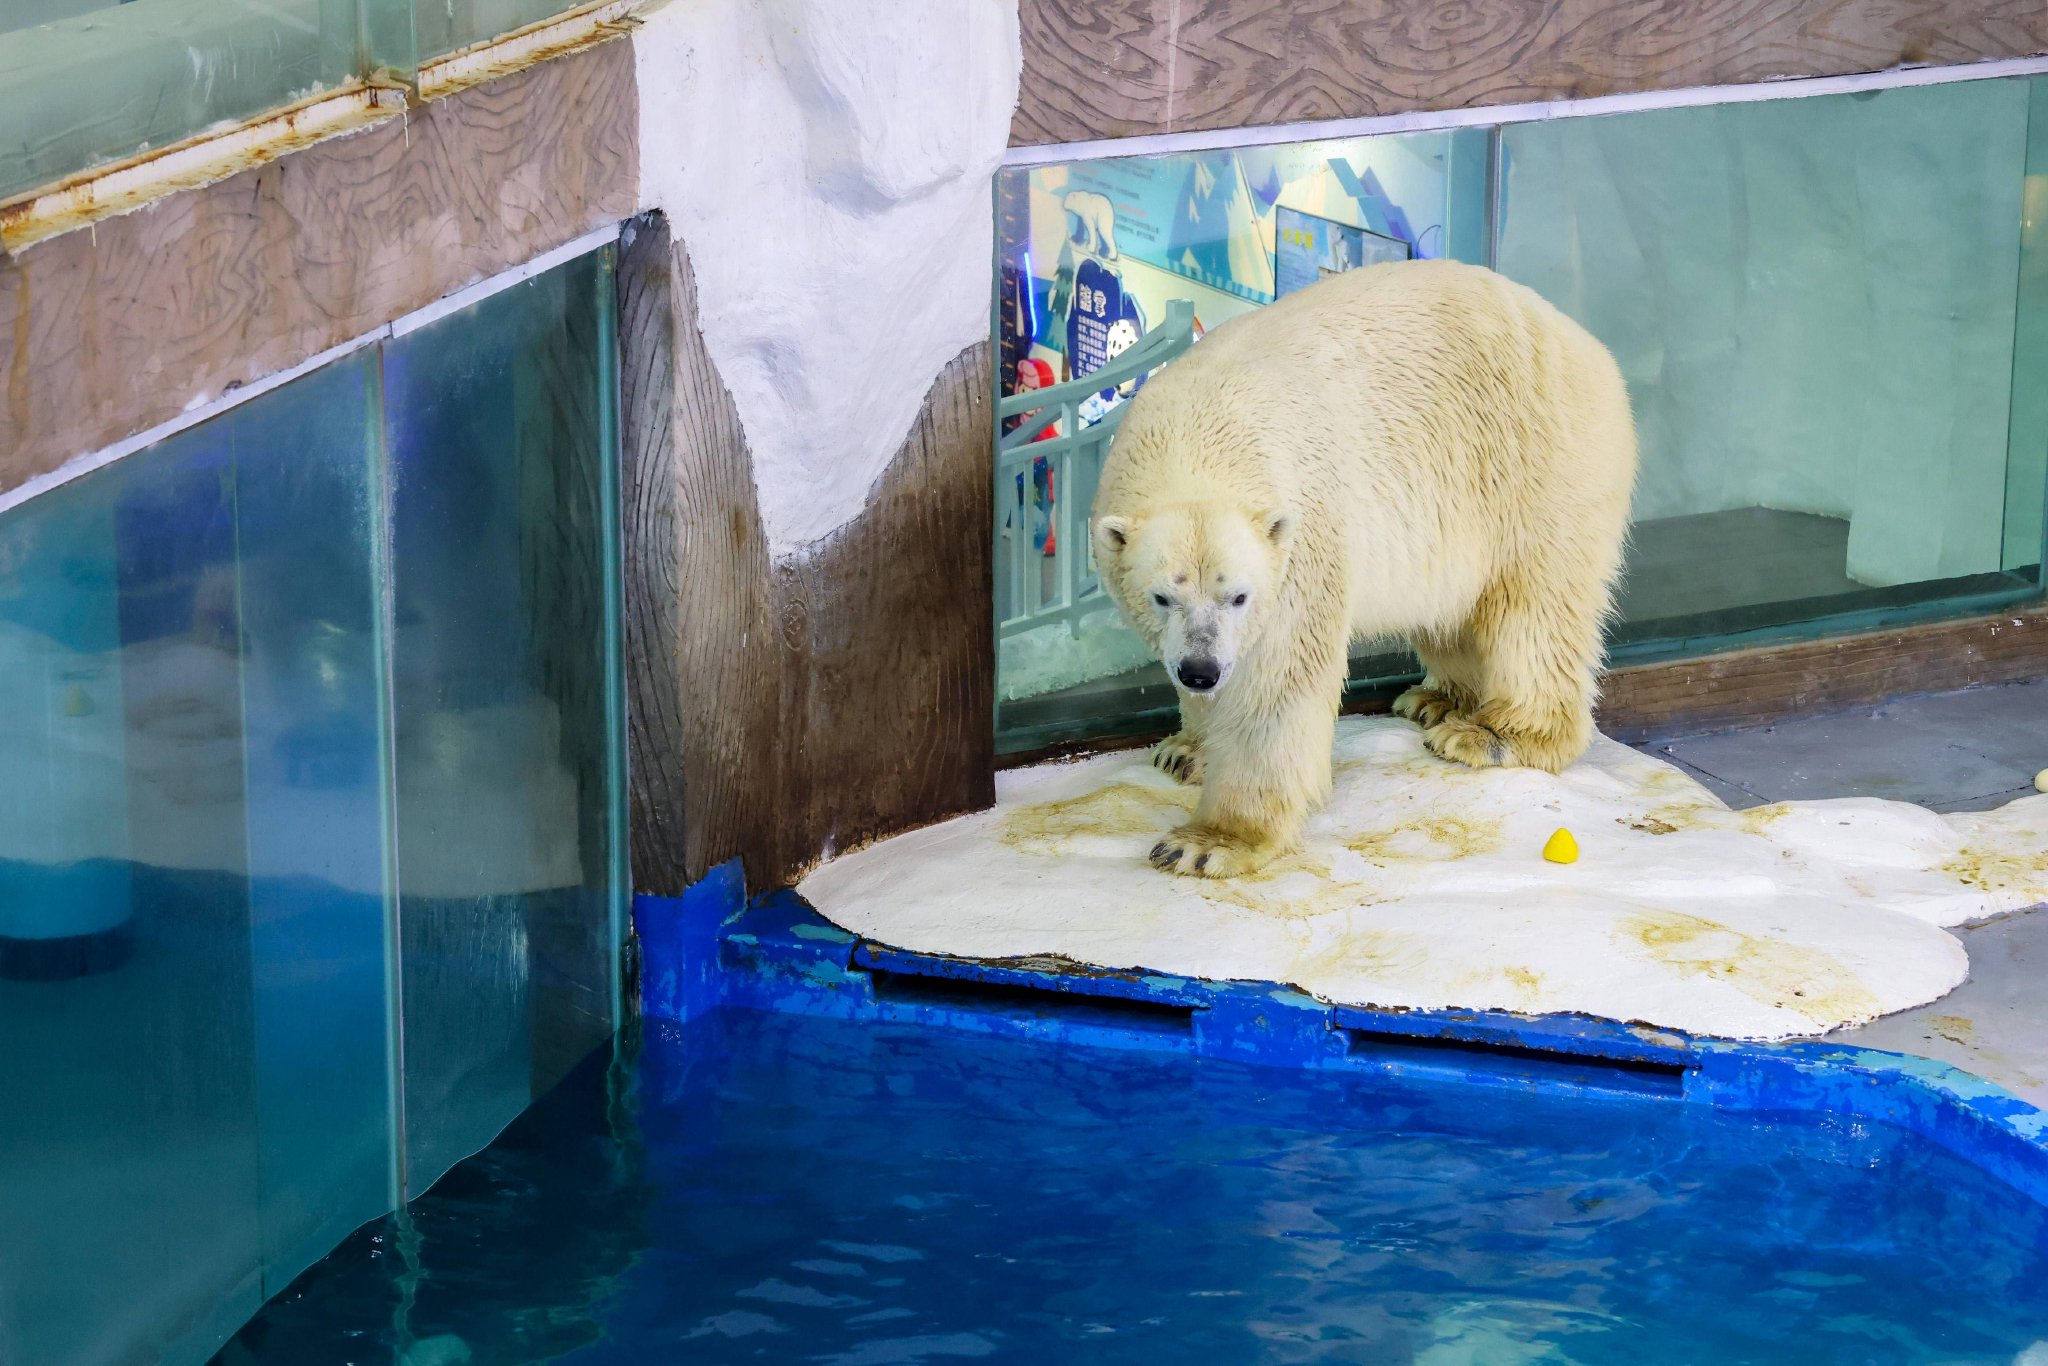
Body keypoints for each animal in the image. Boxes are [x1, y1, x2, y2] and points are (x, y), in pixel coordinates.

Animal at [1090, 259, 1637, 879]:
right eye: (1163, 597)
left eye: (1240, 596)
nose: (1200, 672)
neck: (1201, 428)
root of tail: (1589, 347)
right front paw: (1185, 749)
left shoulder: (1303, 543)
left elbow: (1279, 680)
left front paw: (1207, 841)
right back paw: (1436, 699)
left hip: (1533, 469)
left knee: (1534, 611)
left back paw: (1490, 733)